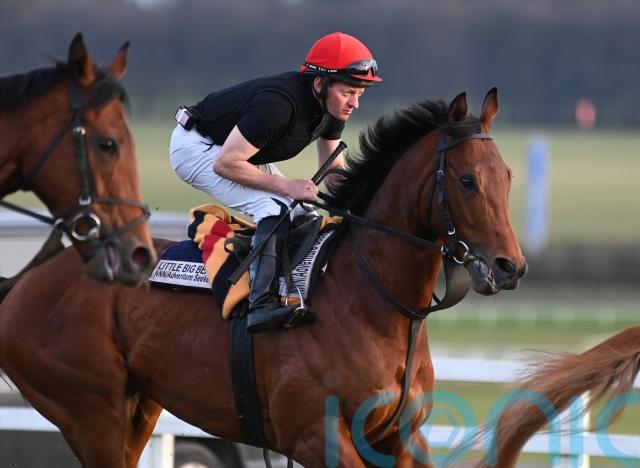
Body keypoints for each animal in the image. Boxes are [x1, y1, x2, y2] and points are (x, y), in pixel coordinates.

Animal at [0, 88, 527, 467]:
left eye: (507, 176)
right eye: (467, 181)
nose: (510, 267)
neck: (372, 301)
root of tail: (24, 281)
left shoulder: (401, 439)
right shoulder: (314, 435)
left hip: (139, 408)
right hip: (92, 411)